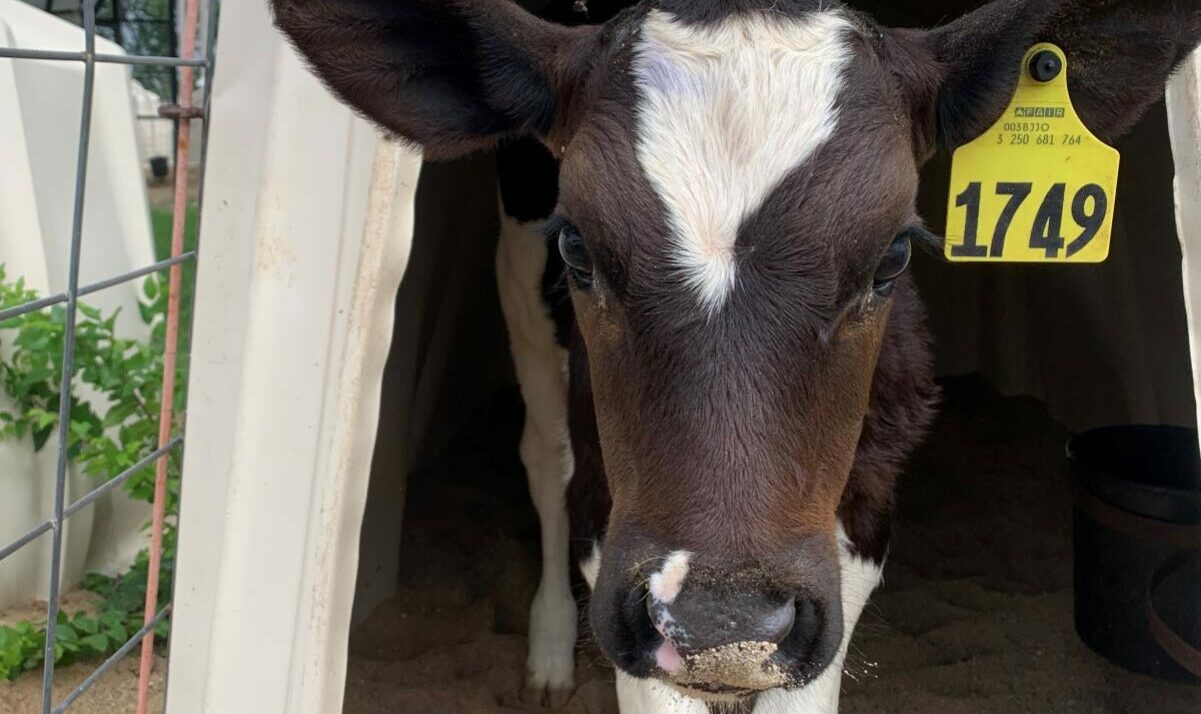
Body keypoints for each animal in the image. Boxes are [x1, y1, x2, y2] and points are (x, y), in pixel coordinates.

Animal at [269, 0, 1201, 711]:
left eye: (892, 256)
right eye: (578, 247)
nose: (722, 625)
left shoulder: (842, 557)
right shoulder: (629, 564)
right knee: (544, 459)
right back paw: (547, 651)